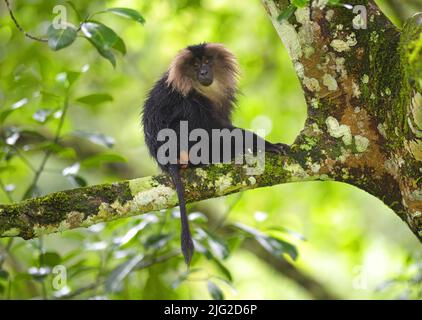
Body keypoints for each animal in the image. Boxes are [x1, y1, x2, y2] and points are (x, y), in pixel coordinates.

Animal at [143, 43, 288, 266]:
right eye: (195, 65)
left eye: (207, 61)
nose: (203, 71)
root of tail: (167, 159)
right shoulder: (190, 98)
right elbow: (215, 130)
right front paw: (268, 145)